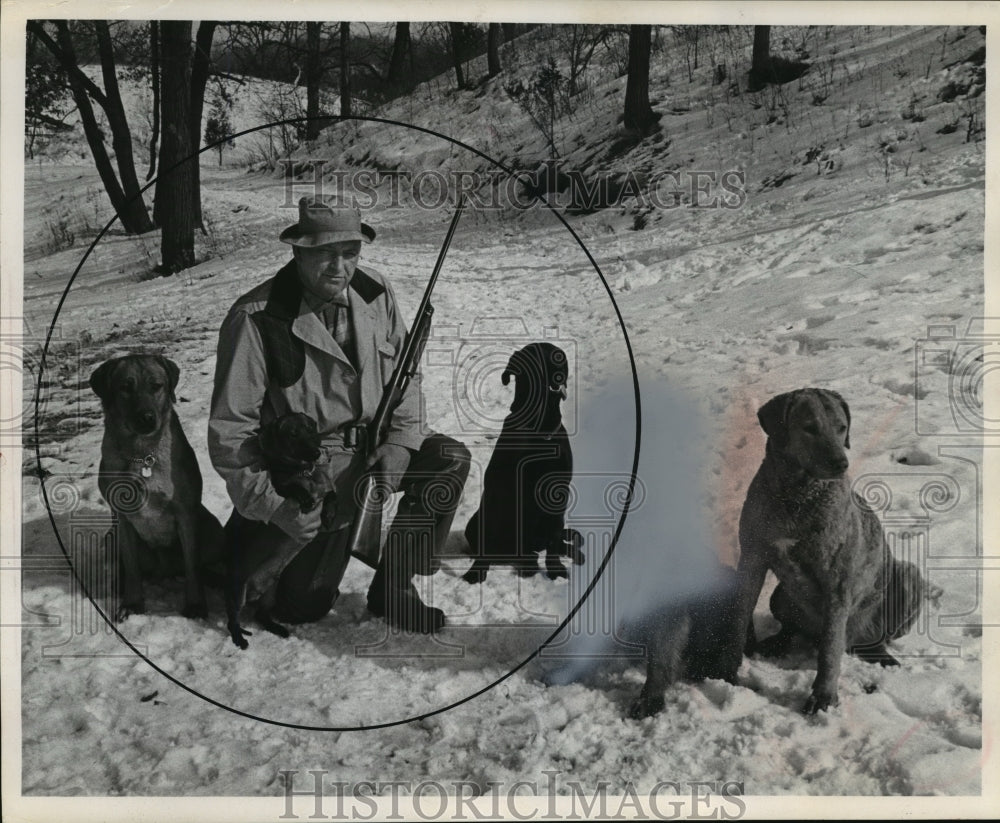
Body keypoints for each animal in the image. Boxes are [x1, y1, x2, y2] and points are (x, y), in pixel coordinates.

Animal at [90, 354, 225, 616]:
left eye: (156, 386)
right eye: (125, 387)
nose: (146, 417)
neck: (142, 454)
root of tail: (166, 571)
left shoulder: (185, 512)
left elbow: (192, 565)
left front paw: (195, 605)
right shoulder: (121, 518)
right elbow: (132, 566)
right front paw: (133, 603)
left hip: (211, 527)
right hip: (112, 537)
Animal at [462, 342, 584, 584]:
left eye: (559, 355)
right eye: (537, 355)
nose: (558, 363)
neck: (541, 426)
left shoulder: (559, 491)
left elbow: (554, 537)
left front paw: (555, 568)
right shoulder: (497, 489)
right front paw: (476, 571)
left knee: (553, 540)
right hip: (474, 523)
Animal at [720, 390, 920, 712]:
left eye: (841, 427)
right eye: (809, 428)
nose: (841, 463)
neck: (796, 496)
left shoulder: (837, 581)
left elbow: (830, 648)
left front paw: (823, 696)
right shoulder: (752, 558)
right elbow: (739, 616)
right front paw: (727, 671)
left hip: (906, 577)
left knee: (870, 638)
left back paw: (884, 657)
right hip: (781, 596)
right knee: (792, 628)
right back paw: (774, 643)